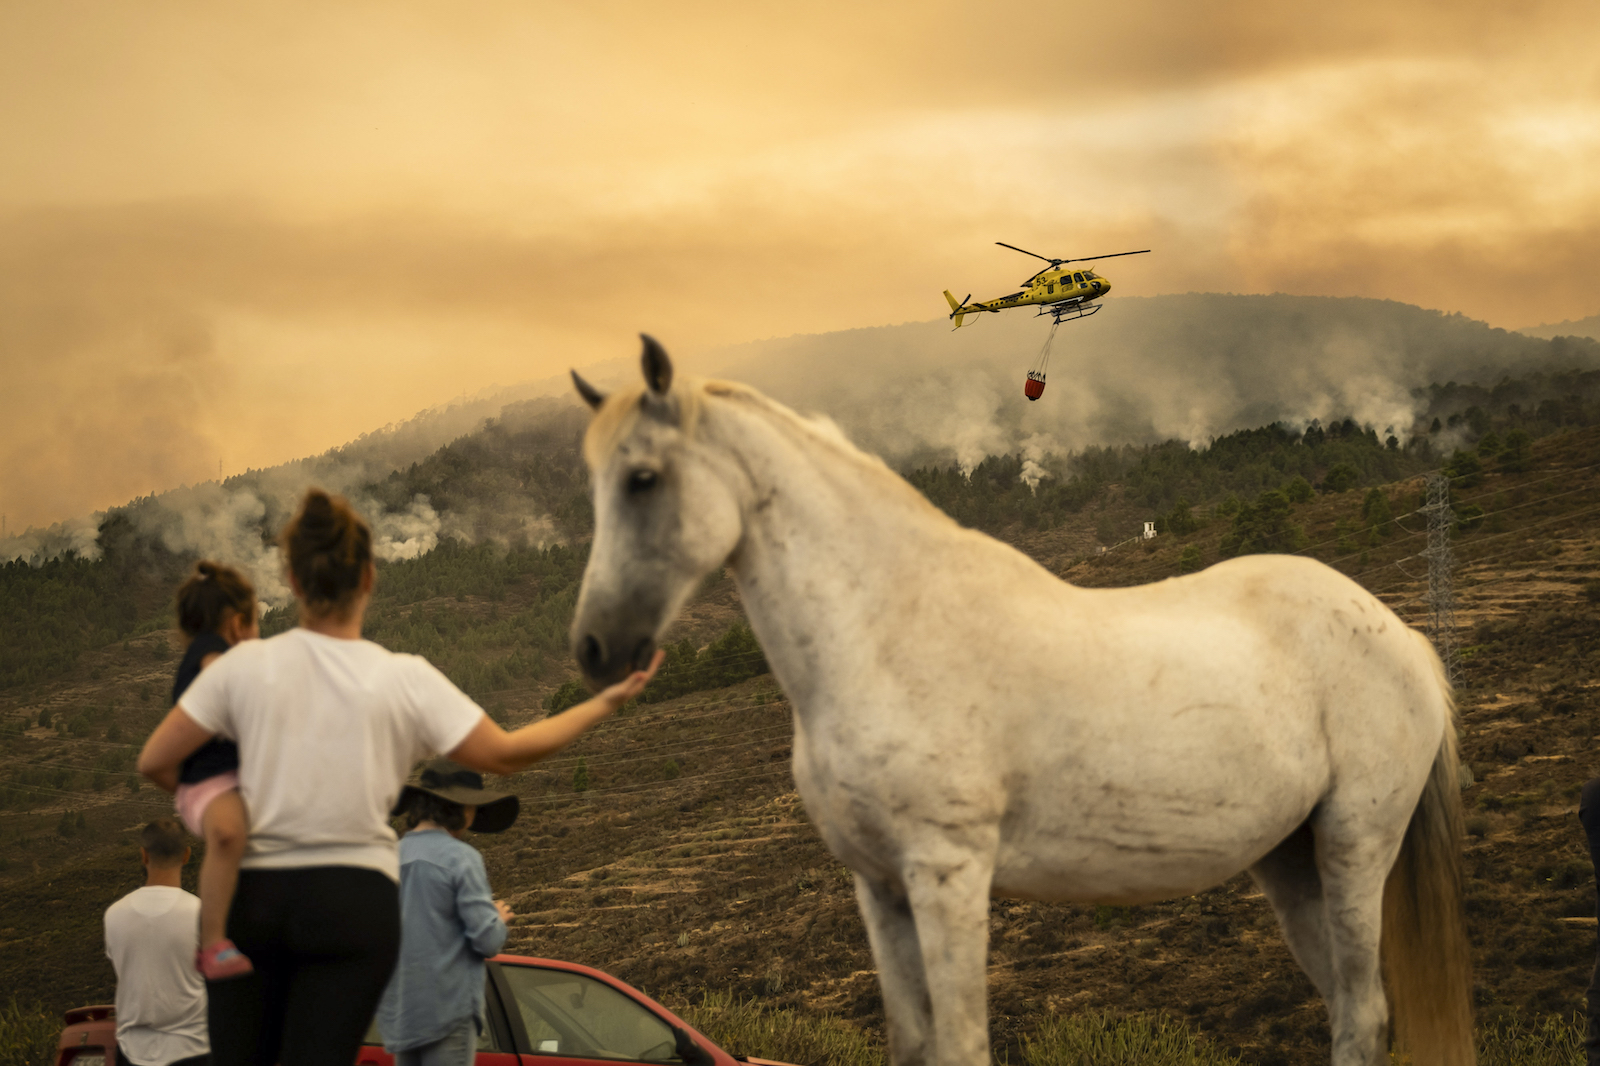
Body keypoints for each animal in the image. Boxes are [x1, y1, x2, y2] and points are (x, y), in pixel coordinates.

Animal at [569, 337, 1465, 1062]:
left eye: (642, 479)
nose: (595, 649)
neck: (885, 632)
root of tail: (1405, 637)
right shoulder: (880, 890)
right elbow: (914, 1045)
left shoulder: (949, 874)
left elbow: (963, 1046)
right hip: (1289, 861)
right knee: (1348, 1009)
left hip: (1356, 844)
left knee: (1364, 1013)